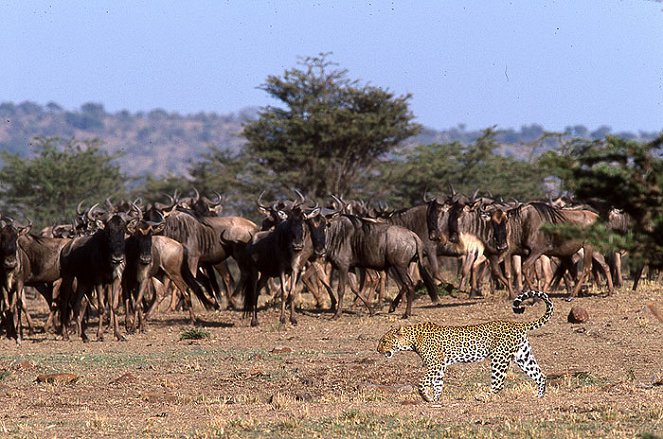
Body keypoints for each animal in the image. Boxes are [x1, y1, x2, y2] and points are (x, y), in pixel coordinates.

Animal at [376, 290, 552, 404]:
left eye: (384, 341)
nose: (378, 350)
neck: (413, 339)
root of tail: (518, 324)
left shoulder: (434, 364)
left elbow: (422, 383)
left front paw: (426, 397)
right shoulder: (440, 366)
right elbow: (437, 384)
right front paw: (436, 399)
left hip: (499, 358)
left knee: (499, 383)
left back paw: (482, 397)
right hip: (523, 356)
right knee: (539, 375)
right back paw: (539, 397)